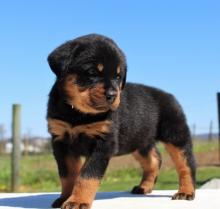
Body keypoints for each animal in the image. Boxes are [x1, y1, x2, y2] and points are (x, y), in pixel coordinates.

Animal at [46, 33, 196, 208]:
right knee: (154, 160)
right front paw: (64, 198)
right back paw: (144, 187)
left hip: (175, 135)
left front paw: (78, 201)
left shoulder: (103, 143)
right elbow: (68, 175)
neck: (78, 114)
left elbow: (87, 175)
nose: (112, 95)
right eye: (92, 72)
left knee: (186, 164)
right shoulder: (61, 141)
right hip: (140, 140)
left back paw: (186, 192)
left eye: (118, 77)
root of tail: (171, 96)